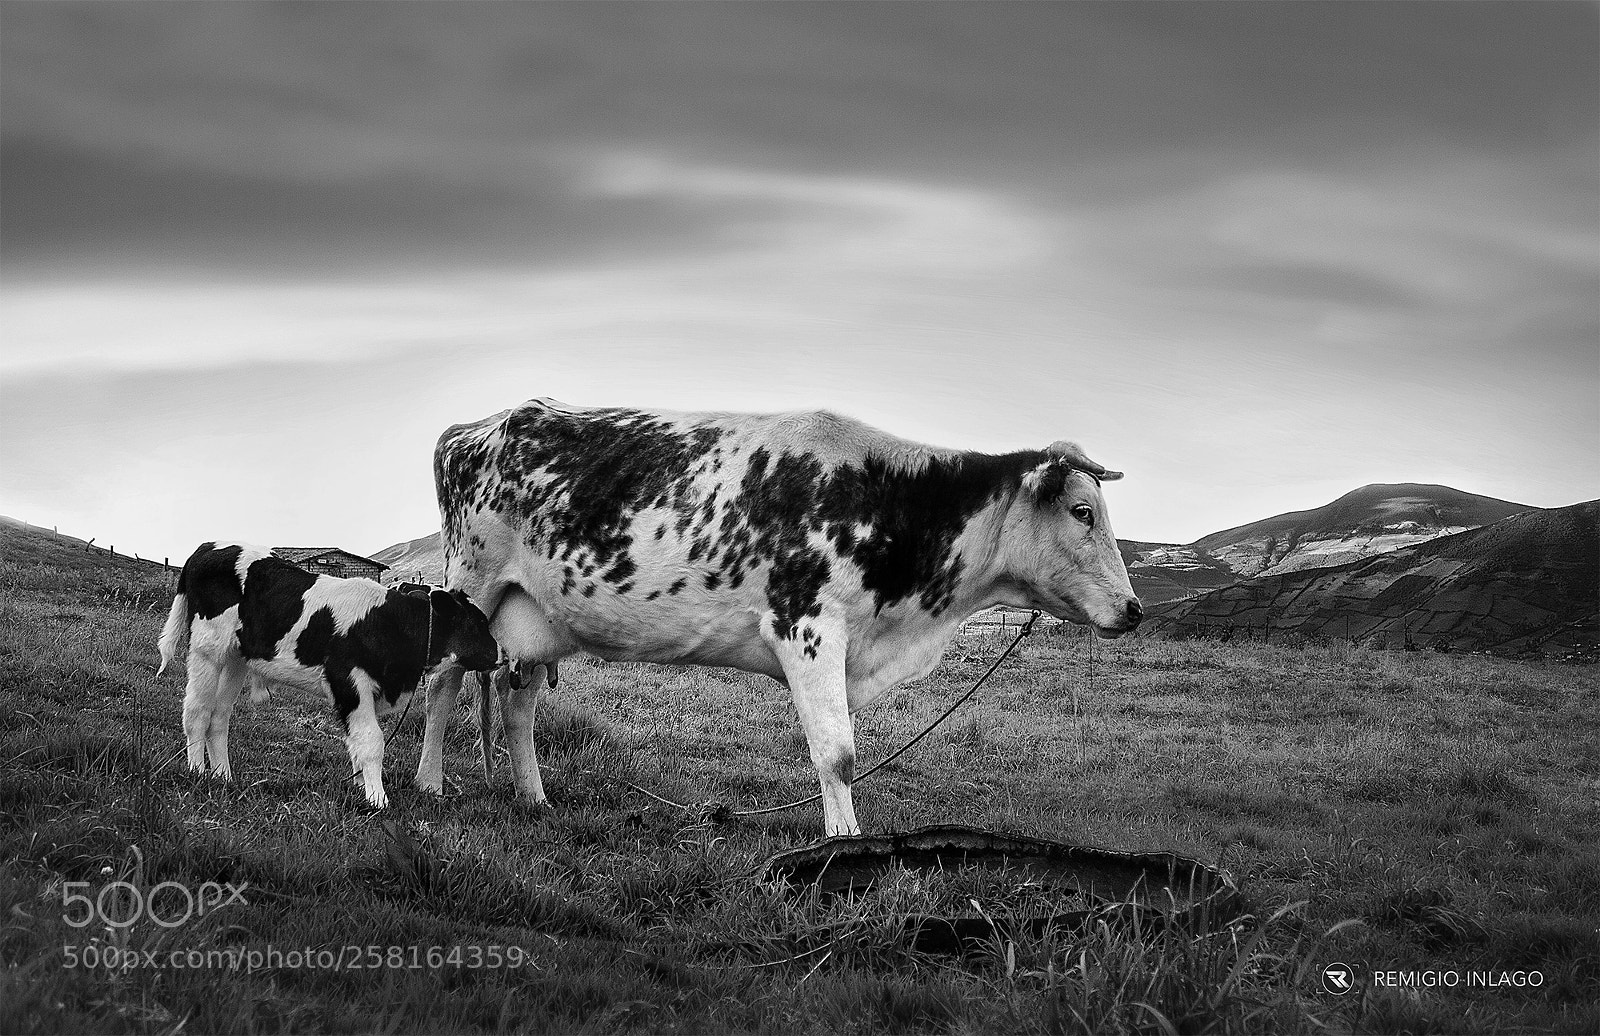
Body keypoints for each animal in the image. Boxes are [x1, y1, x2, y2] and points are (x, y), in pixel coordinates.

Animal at [158, 542, 499, 807]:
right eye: (476, 623)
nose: (500, 654)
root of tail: (208, 547)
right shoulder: (349, 680)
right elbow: (371, 740)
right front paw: (378, 799)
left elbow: (357, 743)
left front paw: (363, 788)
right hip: (207, 649)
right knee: (197, 711)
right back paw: (197, 772)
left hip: (235, 659)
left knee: (219, 716)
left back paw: (223, 776)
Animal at [415, 398, 1141, 835]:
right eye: (1083, 511)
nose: (1134, 609)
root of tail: (476, 426)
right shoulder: (808, 626)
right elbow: (838, 754)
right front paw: (843, 845)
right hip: (470, 583)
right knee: (443, 682)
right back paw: (429, 784)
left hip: (539, 616)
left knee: (518, 701)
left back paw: (533, 796)